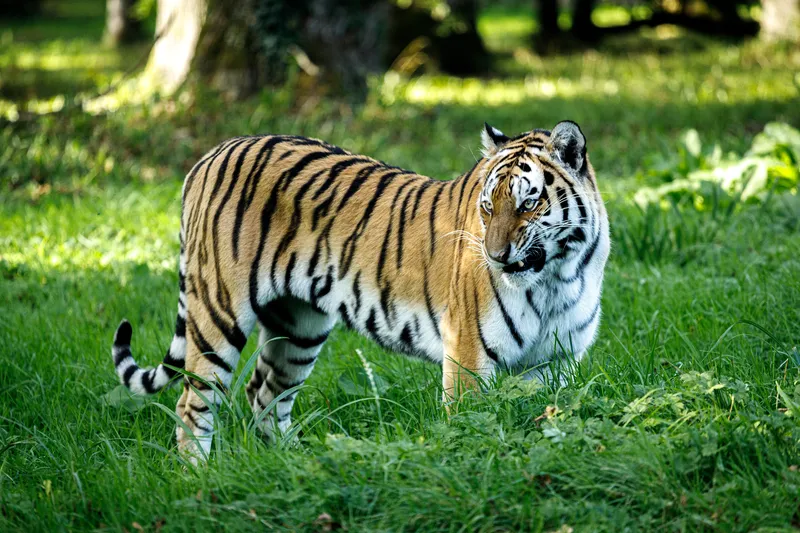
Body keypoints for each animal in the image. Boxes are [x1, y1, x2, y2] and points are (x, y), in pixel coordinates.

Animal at [111, 120, 610, 460]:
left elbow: (549, 417)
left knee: (265, 392)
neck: (557, 277)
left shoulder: (556, 363)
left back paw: (296, 464)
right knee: (193, 402)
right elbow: (471, 425)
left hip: (299, 327)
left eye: (528, 203)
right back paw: (198, 477)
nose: (496, 256)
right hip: (219, 313)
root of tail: (211, 154)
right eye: (488, 207)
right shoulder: (468, 356)